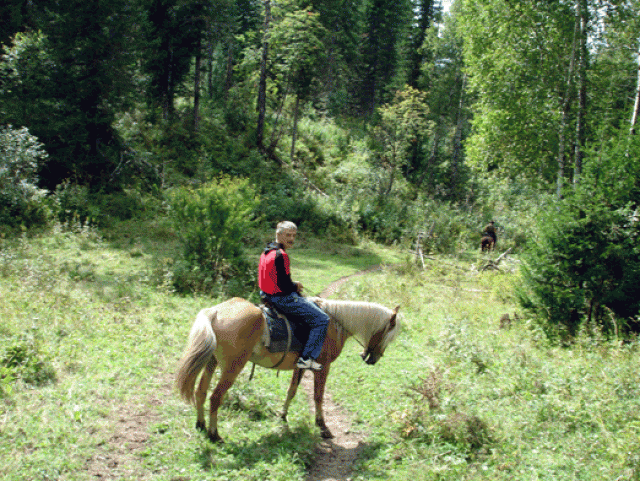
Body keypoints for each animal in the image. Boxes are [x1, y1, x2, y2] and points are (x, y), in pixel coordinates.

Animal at [172, 296, 398, 442]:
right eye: (389, 336)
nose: (372, 359)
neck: (335, 323)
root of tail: (216, 311)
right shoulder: (323, 368)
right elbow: (318, 397)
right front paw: (322, 426)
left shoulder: (301, 366)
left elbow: (292, 391)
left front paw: (283, 415)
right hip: (232, 367)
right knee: (215, 397)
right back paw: (214, 434)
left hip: (212, 362)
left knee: (201, 391)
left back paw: (201, 425)